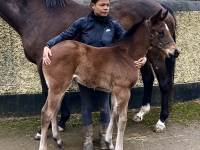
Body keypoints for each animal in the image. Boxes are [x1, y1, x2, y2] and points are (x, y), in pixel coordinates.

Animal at [0, 0, 178, 131]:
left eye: (162, 32)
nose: (176, 51)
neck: (36, 15)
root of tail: (162, 6)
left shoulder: (42, 62)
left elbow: (47, 92)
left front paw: (51, 126)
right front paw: (61, 121)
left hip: (156, 55)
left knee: (164, 83)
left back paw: (161, 121)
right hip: (143, 56)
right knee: (148, 79)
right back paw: (141, 113)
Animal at [39, 9, 180, 150]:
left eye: (168, 30)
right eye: (161, 32)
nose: (176, 52)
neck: (127, 55)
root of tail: (48, 52)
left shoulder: (115, 91)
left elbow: (113, 114)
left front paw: (109, 142)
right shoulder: (123, 91)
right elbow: (122, 120)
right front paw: (118, 146)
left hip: (60, 87)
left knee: (54, 111)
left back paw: (58, 140)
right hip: (58, 87)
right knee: (46, 113)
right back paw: (44, 145)